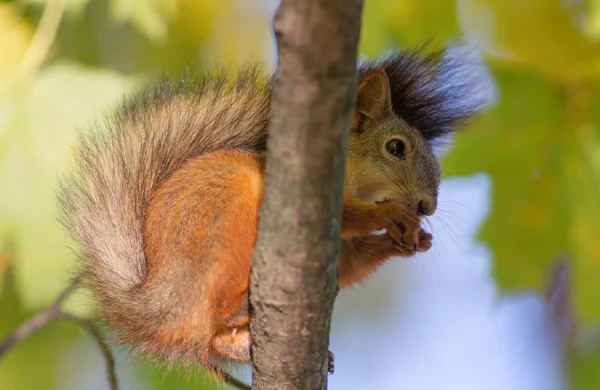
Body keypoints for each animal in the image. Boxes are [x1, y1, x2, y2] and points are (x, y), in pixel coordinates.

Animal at [58, 45, 492, 378]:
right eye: (396, 148)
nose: (426, 205)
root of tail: (157, 304)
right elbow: (351, 216)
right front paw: (393, 221)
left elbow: (353, 261)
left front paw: (411, 241)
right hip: (225, 218)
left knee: (210, 338)